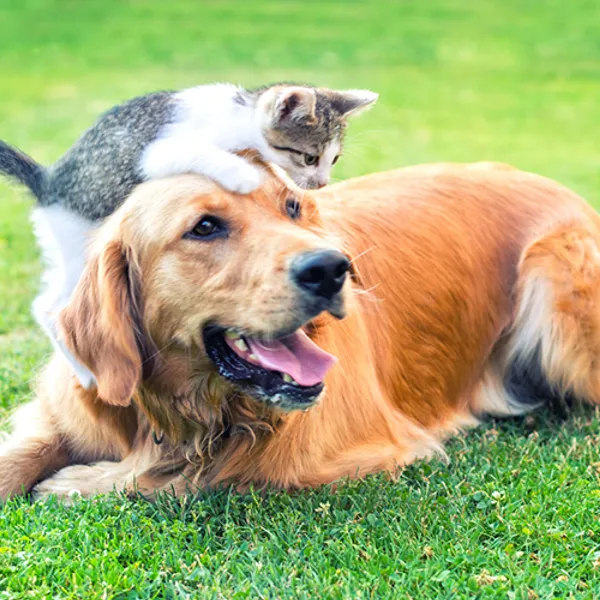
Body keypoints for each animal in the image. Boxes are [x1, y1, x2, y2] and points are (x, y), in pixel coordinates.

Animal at [1, 161, 600, 502]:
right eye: (204, 227)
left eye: (292, 207)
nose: (332, 269)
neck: (181, 413)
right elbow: (24, 450)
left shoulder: (338, 452)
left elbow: (200, 476)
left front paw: (79, 484)